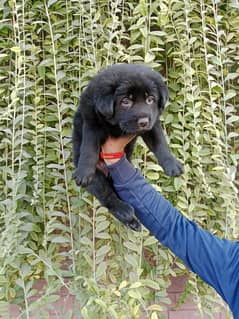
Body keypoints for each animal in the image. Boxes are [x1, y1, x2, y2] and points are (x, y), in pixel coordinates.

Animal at [73, 63, 183, 232]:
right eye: (126, 101)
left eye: (150, 99)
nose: (143, 122)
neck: (117, 126)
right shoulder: (91, 121)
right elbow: (89, 147)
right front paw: (84, 171)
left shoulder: (153, 123)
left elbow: (160, 143)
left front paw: (171, 165)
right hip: (98, 179)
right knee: (107, 196)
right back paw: (124, 210)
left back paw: (132, 222)